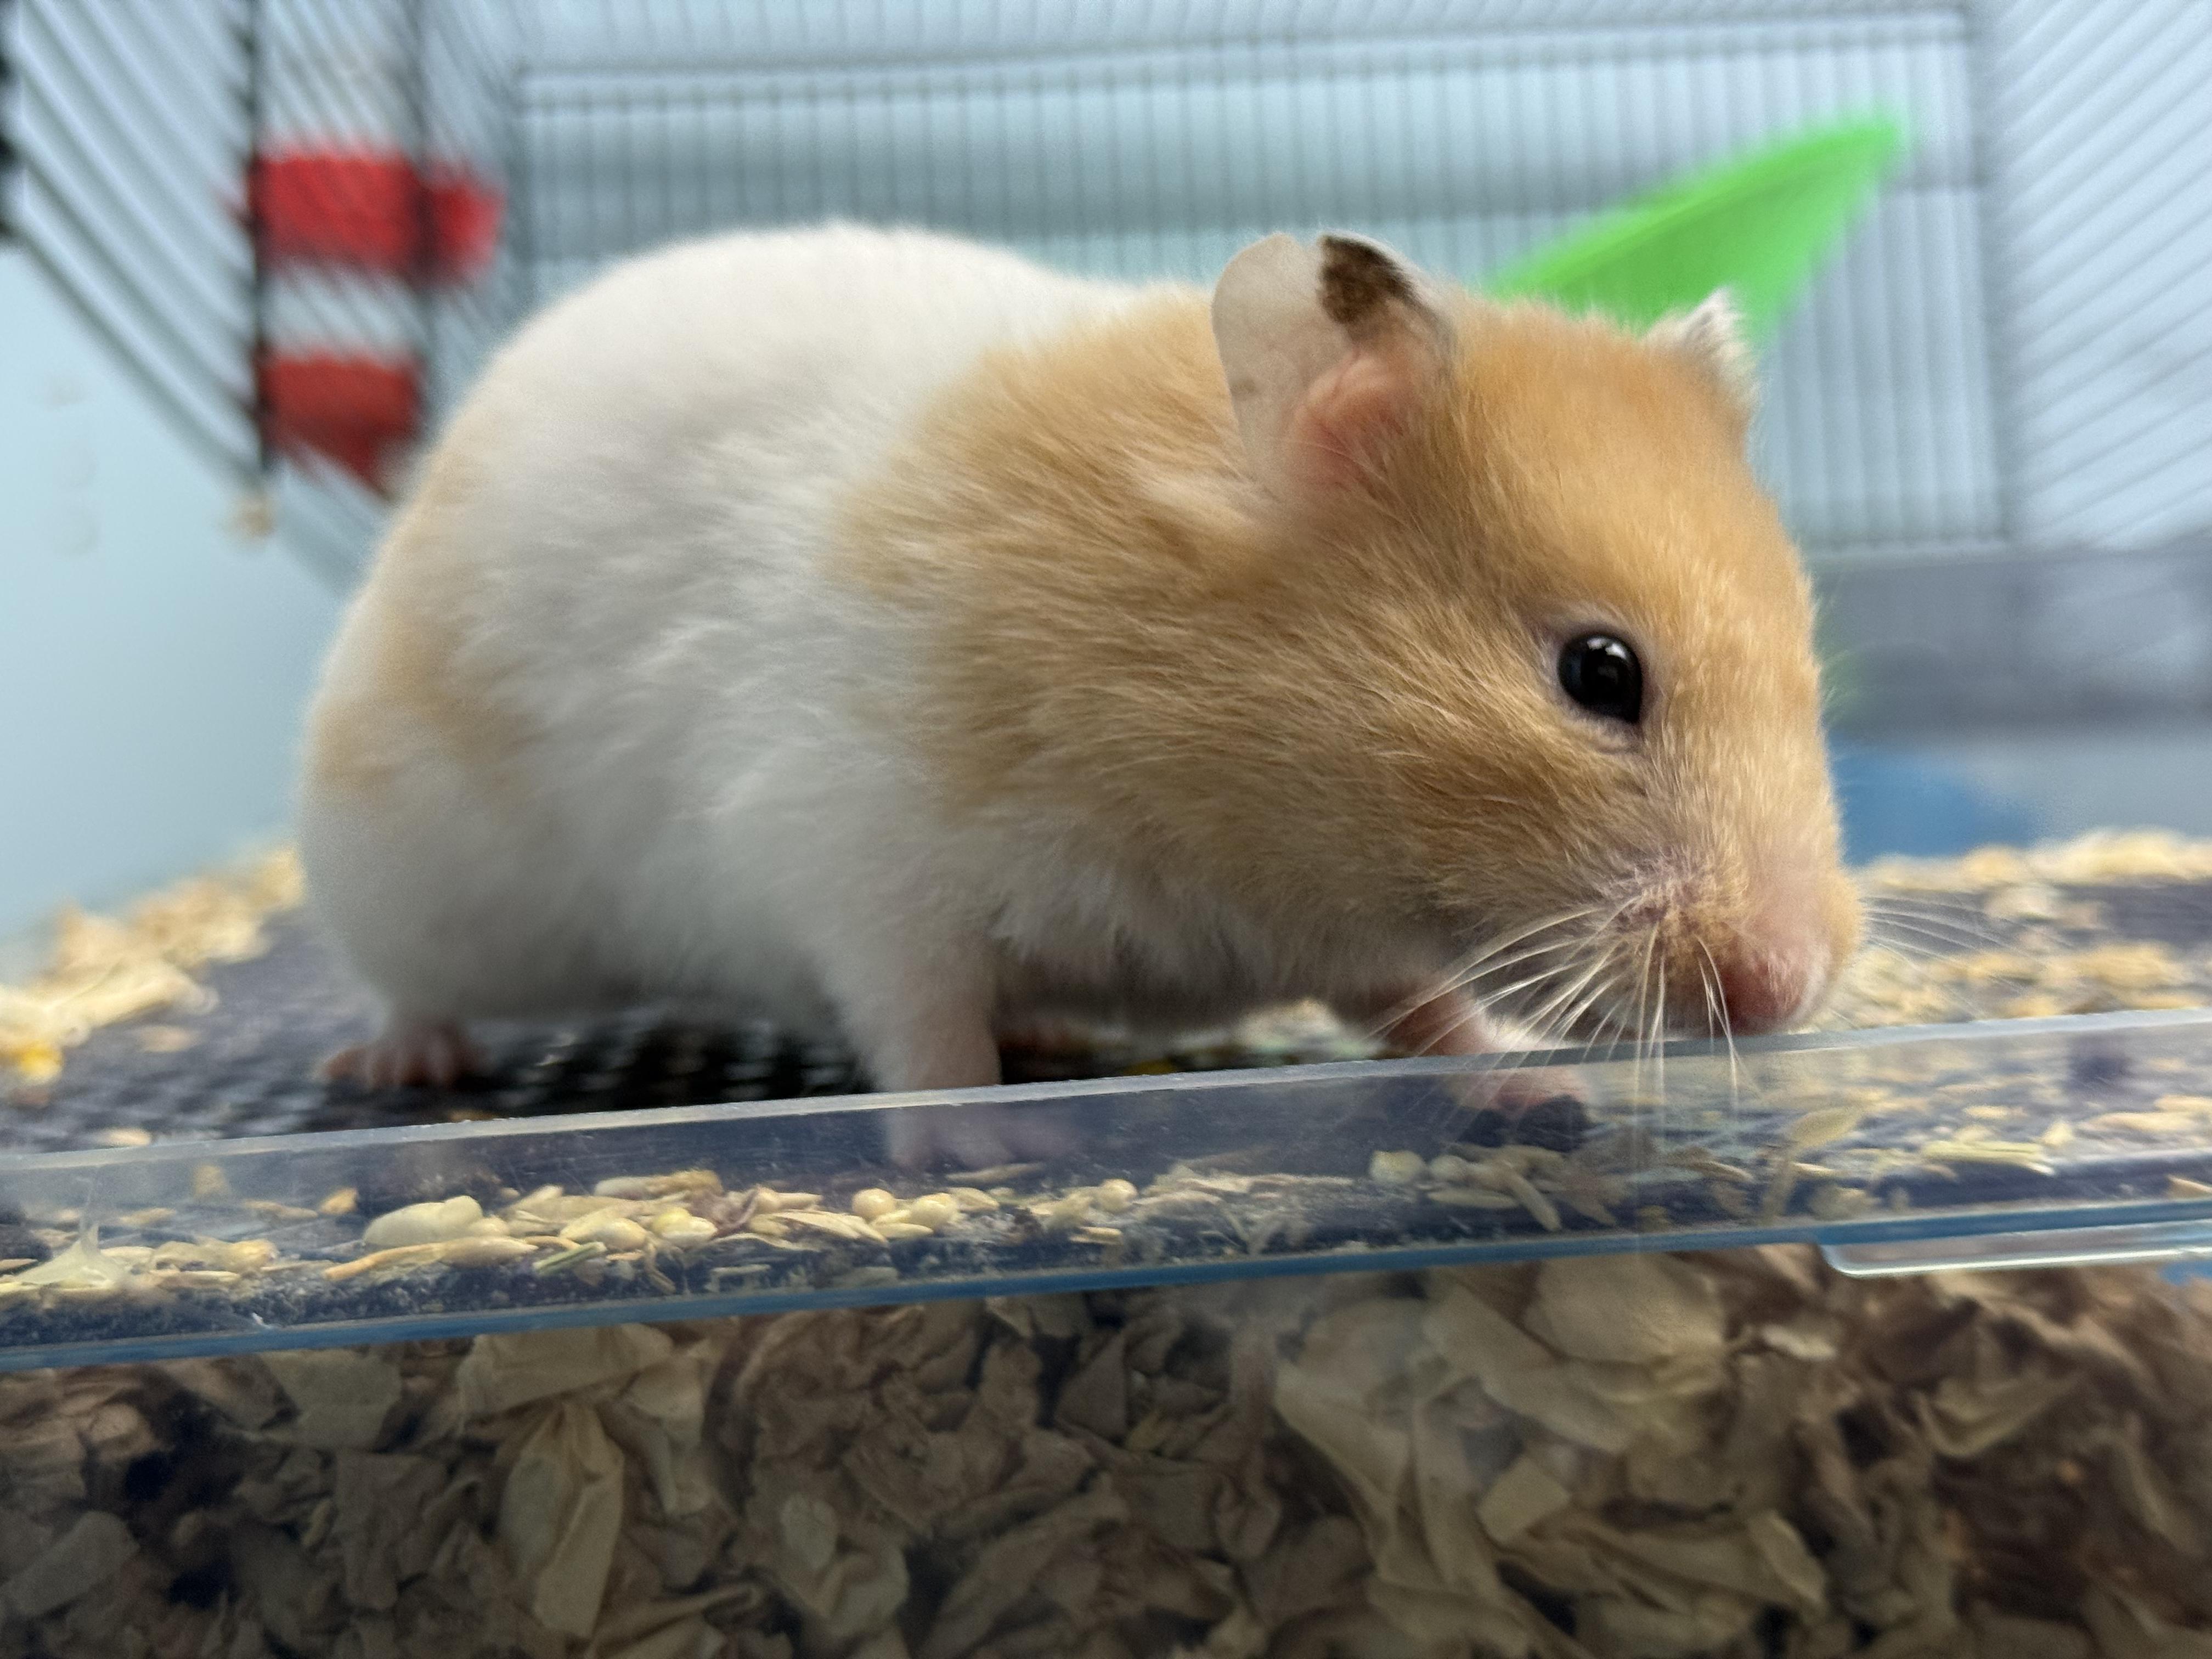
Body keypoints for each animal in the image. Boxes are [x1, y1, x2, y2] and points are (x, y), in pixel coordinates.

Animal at [299, 223, 1861, 1165]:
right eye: (1600, 674)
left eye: (1810, 663)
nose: (1792, 987)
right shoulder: (855, 856)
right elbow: (919, 1019)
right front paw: (996, 1148)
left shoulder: (1342, 933)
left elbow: (1424, 1008)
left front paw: (1537, 1083)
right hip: (406, 876)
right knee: (400, 981)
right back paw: (396, 1066)